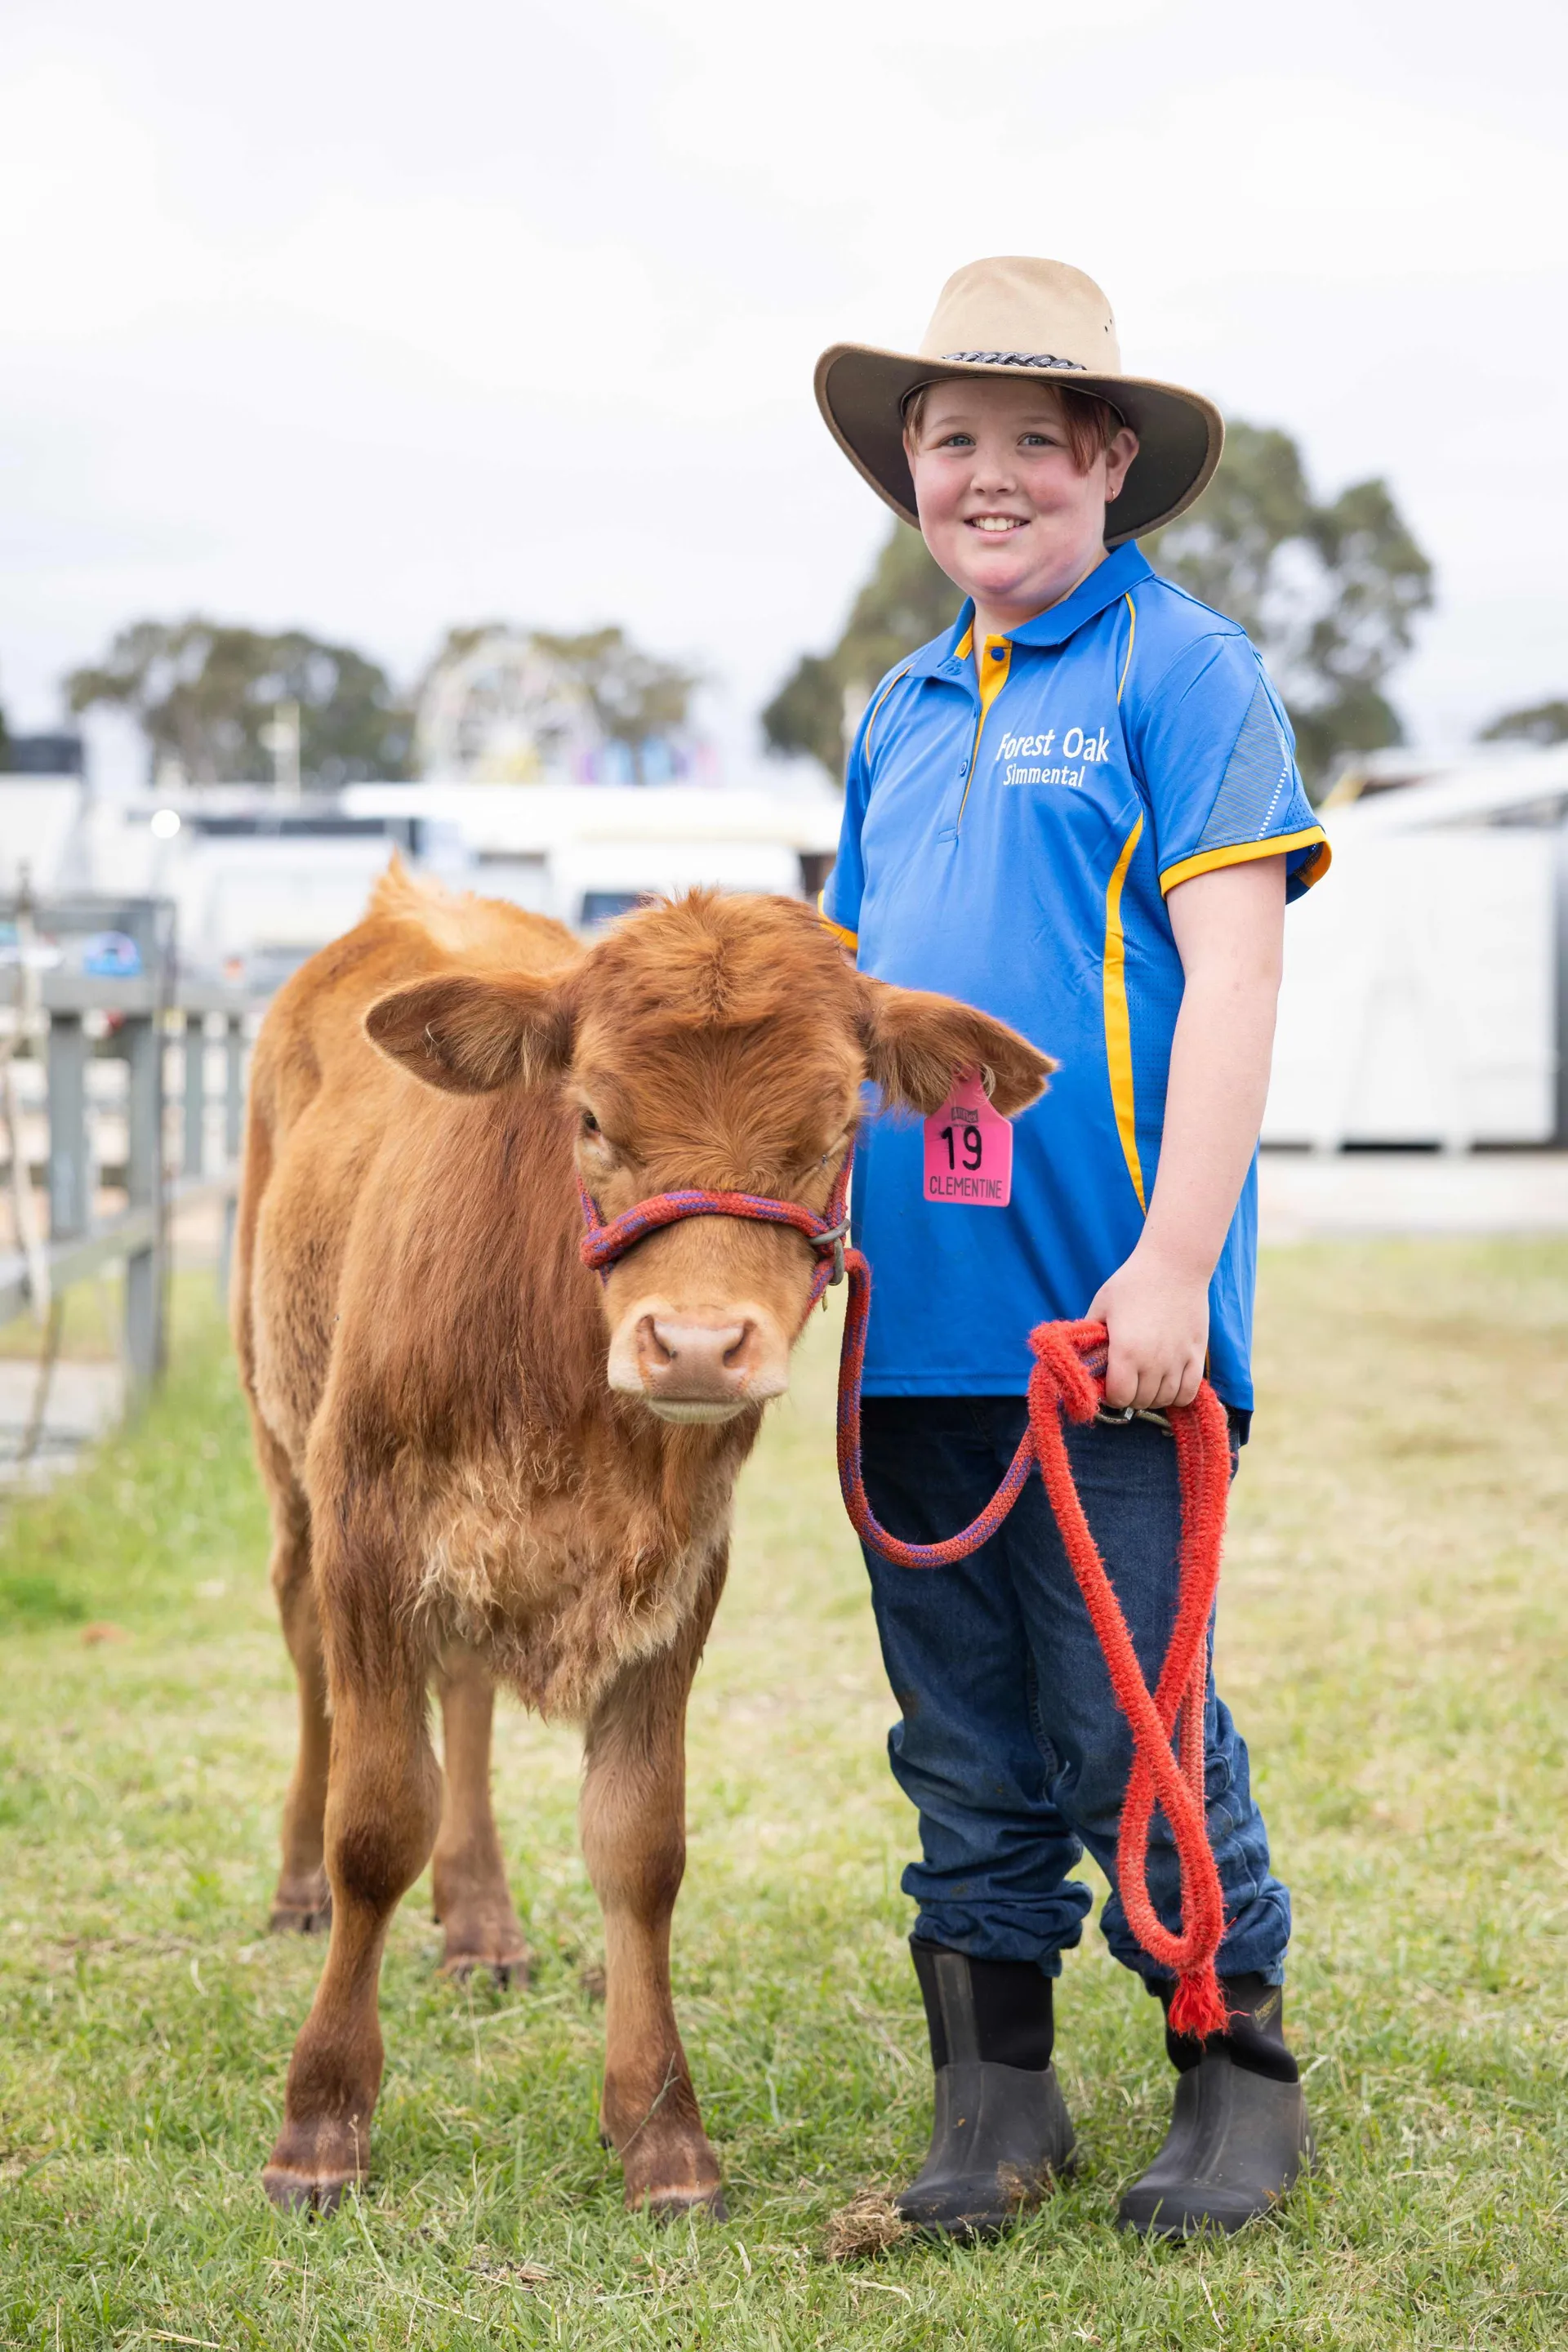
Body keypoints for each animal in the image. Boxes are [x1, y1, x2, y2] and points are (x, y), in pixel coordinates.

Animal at [233, 863, 1050, 2216]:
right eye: (593, 1117)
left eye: (836, 1130)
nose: (701, 1346)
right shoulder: (369, 1537)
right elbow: (377, 1823)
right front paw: (321, 2121)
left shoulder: (679, 1579)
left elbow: (638, 1846)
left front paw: (662, 2131)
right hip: (284, 1452)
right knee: (305, 1663)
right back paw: (298, 1884)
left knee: (466, 1690)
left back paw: (483, 1923)